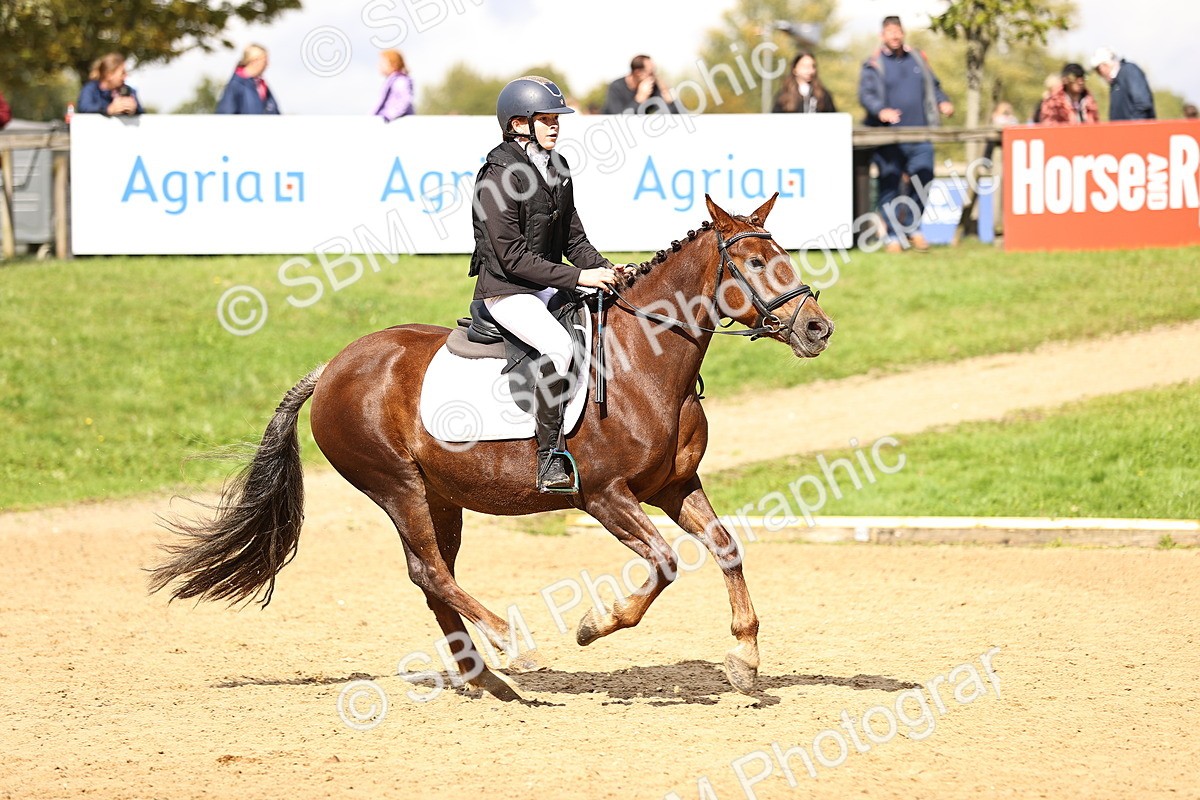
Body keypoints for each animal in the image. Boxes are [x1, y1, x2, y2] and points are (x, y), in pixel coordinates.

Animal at [149, 193, 835, 702]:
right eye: (752, 264)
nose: (817, 328)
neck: (644, 359)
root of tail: (334, 367)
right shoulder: (604, 496)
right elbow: (664, 562)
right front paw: (594, 626)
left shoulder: (673, 486)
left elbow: (726, 547)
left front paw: (744, 660)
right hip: (396, 485)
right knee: (428, 570)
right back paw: (514, 646)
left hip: (441, 496)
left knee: (435, 576)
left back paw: (486, 678)